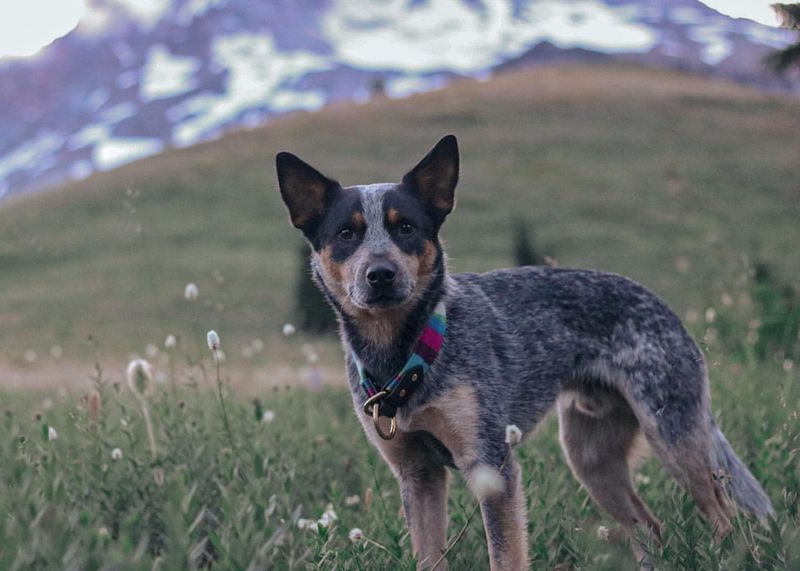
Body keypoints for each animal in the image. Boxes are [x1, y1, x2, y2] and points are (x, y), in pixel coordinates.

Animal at [276, 136, 776, 568]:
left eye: (407, 228)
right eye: (346, 233)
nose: (380, 274)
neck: (406, 353)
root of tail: (665, 308)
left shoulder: (492, 465)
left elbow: (506, 556)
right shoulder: (418, 476)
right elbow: (429, 557)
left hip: (674, 436)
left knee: (725, 521)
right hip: (591, 458)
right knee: (651, 528)